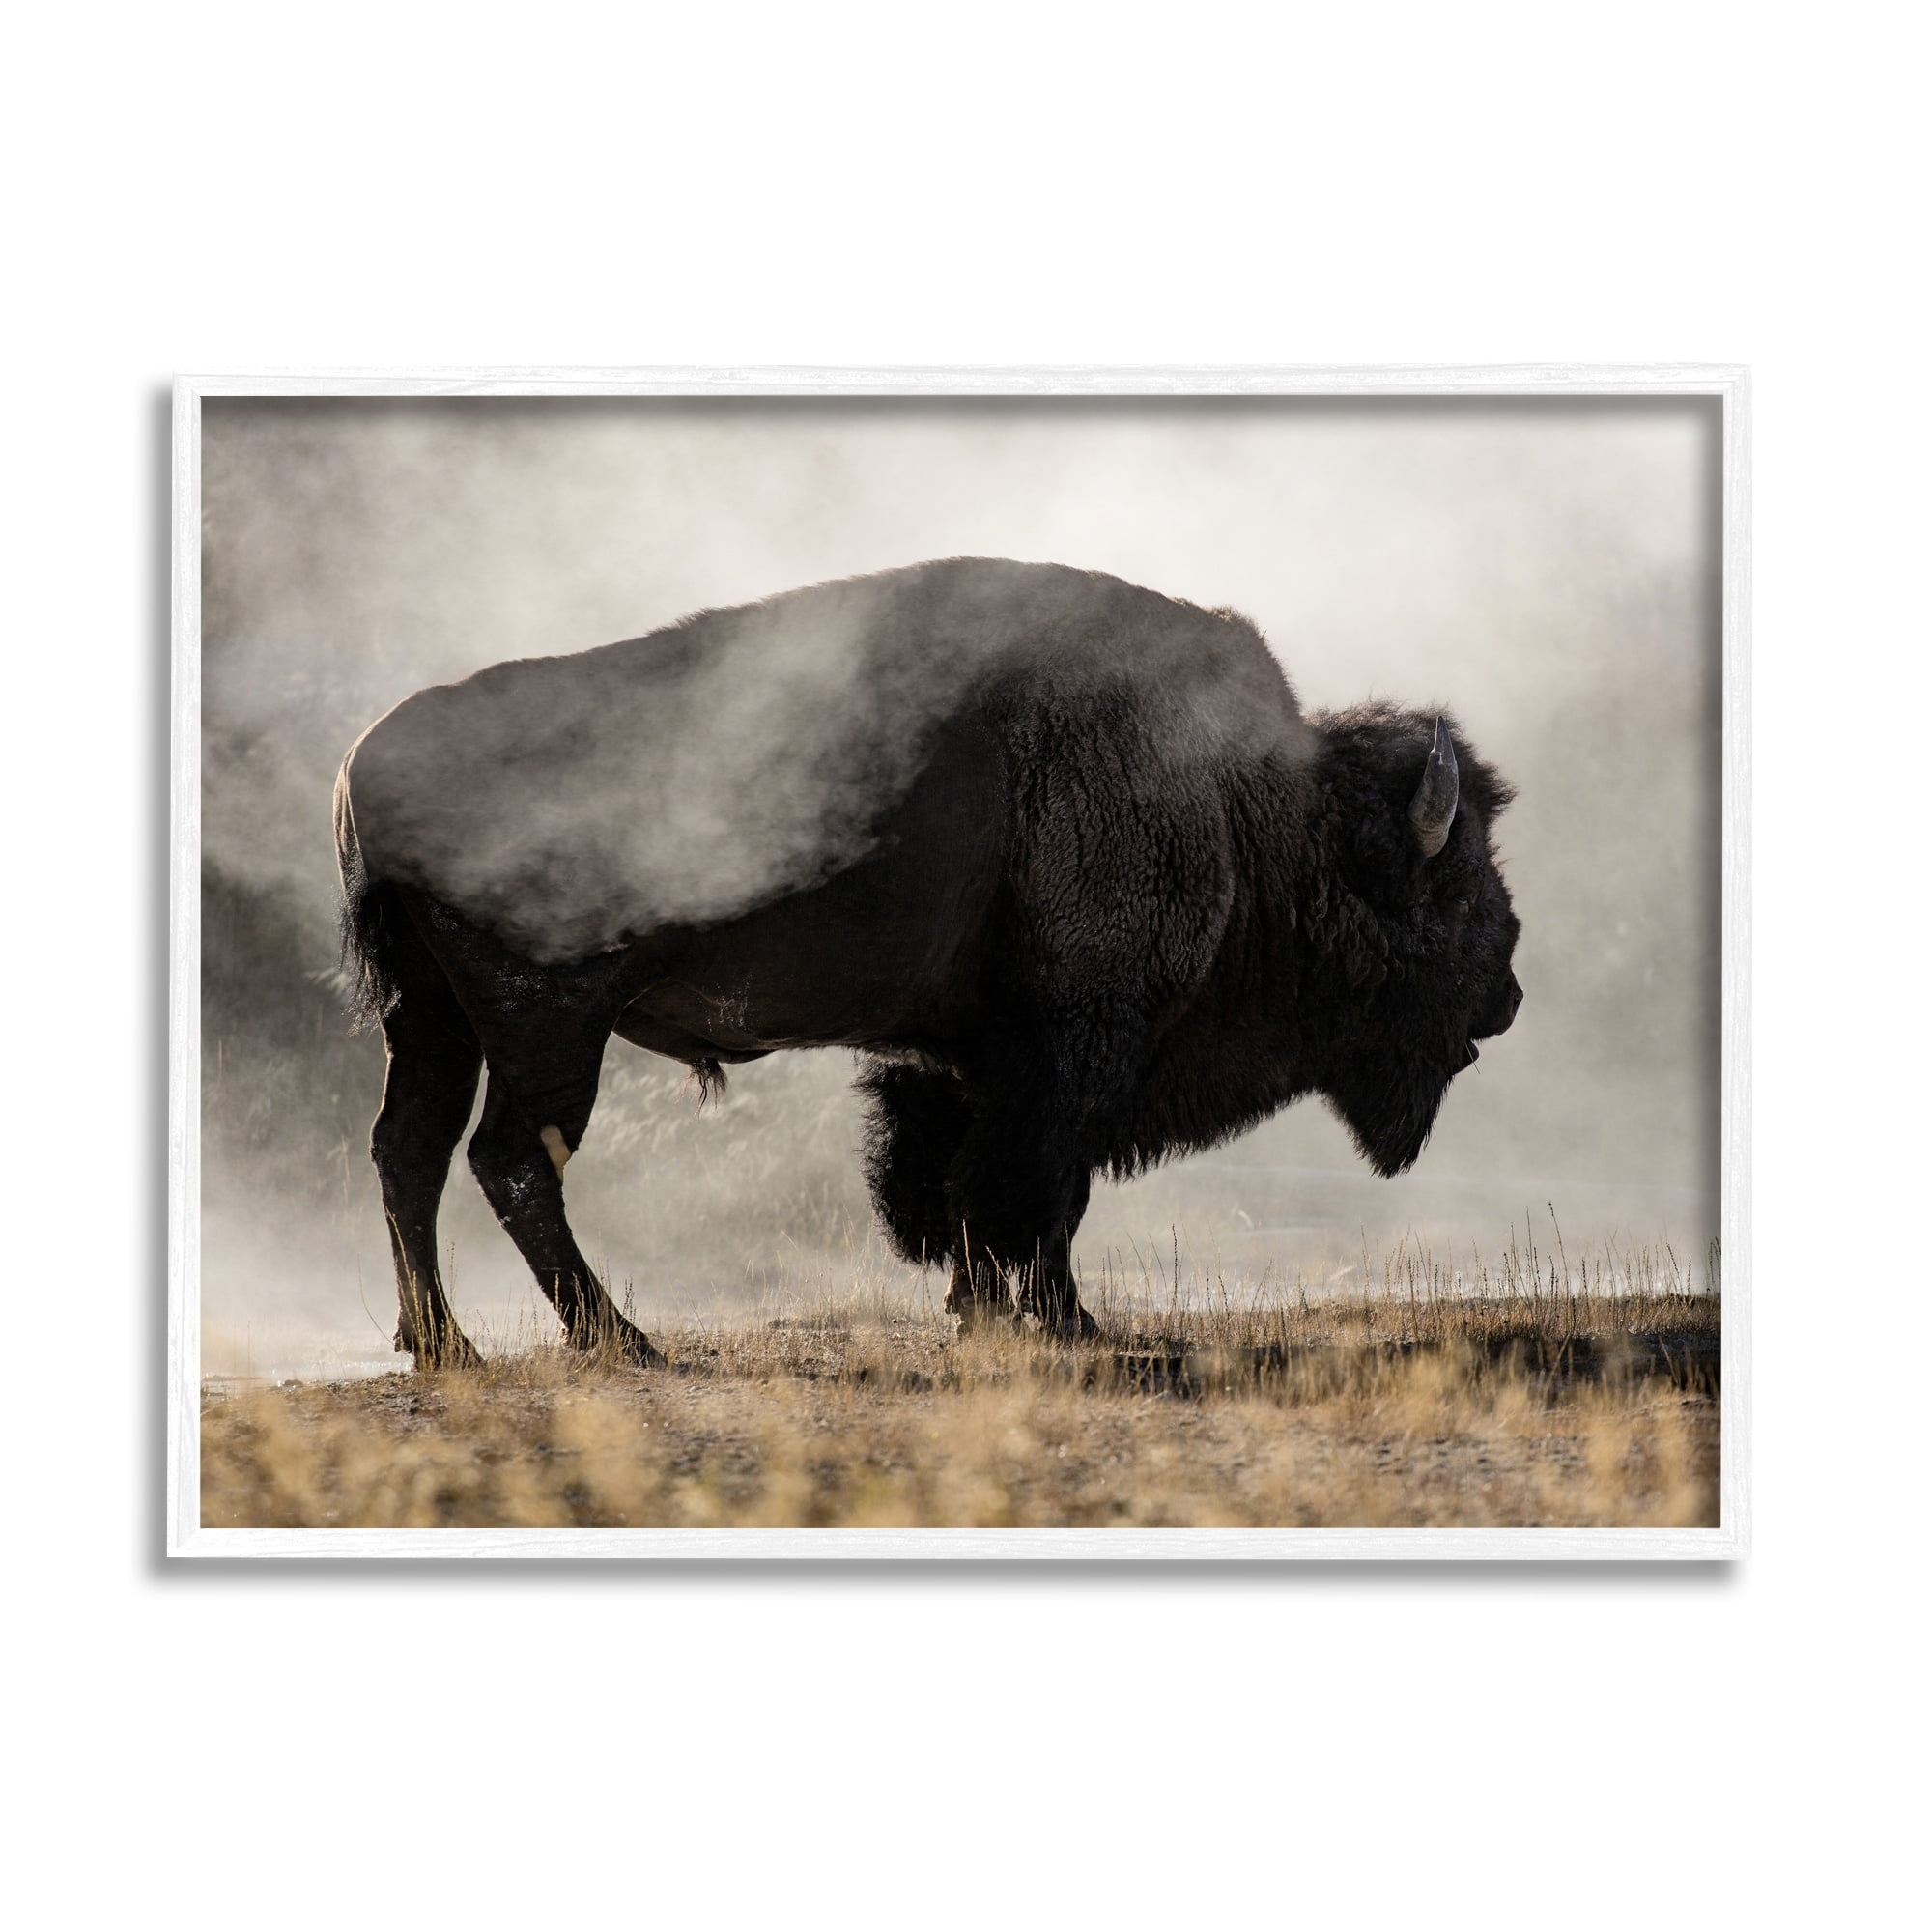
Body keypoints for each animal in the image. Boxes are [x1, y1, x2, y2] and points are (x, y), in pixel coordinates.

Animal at [334, 557, 1522, 1367]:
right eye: (1456, 881)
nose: (1507, 993)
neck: (1245, 803)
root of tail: (365, 761)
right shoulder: (1073, 1049)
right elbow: (1037, 1190)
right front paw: (1065, 1321)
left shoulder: (973, 1060)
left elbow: (967, 1187)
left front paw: (982, 1310)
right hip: (548, 1023)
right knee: (510, 1158)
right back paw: (622, 1340)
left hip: (430, 1015)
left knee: (409, 1149)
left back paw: (444, 1345)